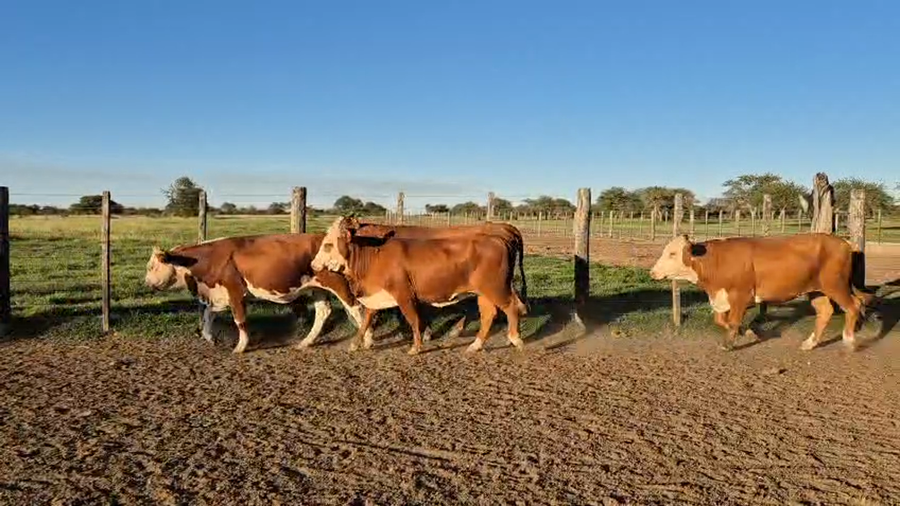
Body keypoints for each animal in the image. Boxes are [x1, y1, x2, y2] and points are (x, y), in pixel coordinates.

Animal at [144, 234, 371, 353]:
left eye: (152, 267)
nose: (146, 283)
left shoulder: (235, 292)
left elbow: (239, 320)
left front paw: (241, 346)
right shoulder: (217, 294)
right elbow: (208, 315)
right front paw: (210, 338)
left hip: (338, 284)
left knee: (357, 308)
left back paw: (366, 341)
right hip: (317, 288)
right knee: (323, 312)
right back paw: (305, 342)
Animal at [310, 216, 528, 355]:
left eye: (328, 245)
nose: (313, 264)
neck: (375, 254)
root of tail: (499, 237)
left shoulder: (404, 294)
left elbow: (413, 319)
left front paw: (416, 346)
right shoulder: (376, 296)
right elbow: (366, 320)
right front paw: (356, 344)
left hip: (496, 288)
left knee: (512, 307)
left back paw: (515, 339)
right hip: (484, 292)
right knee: (489, 314)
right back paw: (476, 345)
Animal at [649, 233, 872, 351]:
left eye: (672, 253)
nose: (652, 272)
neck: (717, 261)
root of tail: (845, 243)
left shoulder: (740, 295)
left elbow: (732, 321)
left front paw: (729, 344)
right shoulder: (722, 297)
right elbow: (721, 320)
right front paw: (749, 332)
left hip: (836, 285)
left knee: (854, 306)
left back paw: (849, 341)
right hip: (817, 290)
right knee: (825, 311)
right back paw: (810, 343)